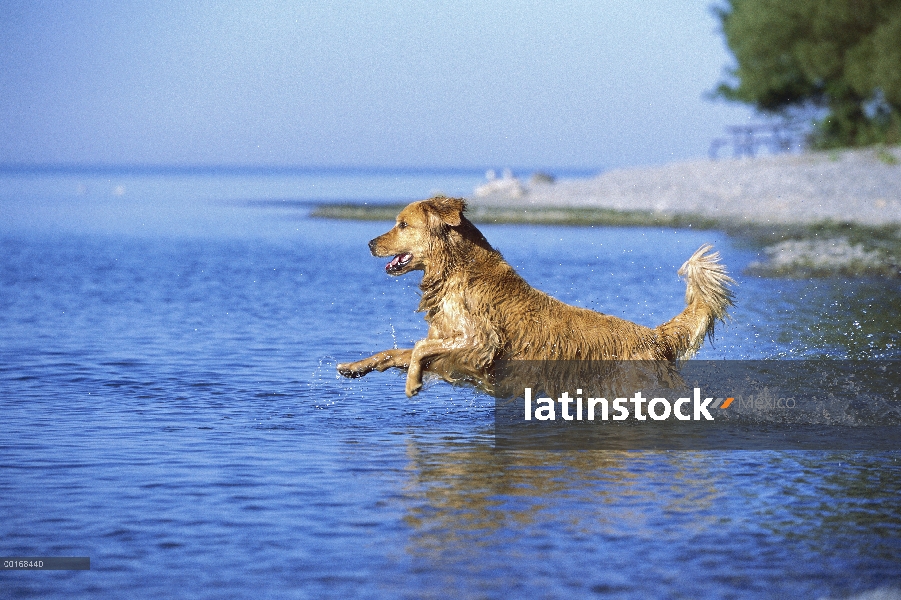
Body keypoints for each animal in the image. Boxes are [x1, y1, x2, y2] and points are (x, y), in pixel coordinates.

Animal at [338, 195, 732, 398]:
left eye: (402, 224)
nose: (369, 243)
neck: (455, 272)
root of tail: (654, 336)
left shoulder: (480, 343)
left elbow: (420, 348)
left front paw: (413, 383)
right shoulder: (450, 345)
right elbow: (395, 352)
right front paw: (354, 367)